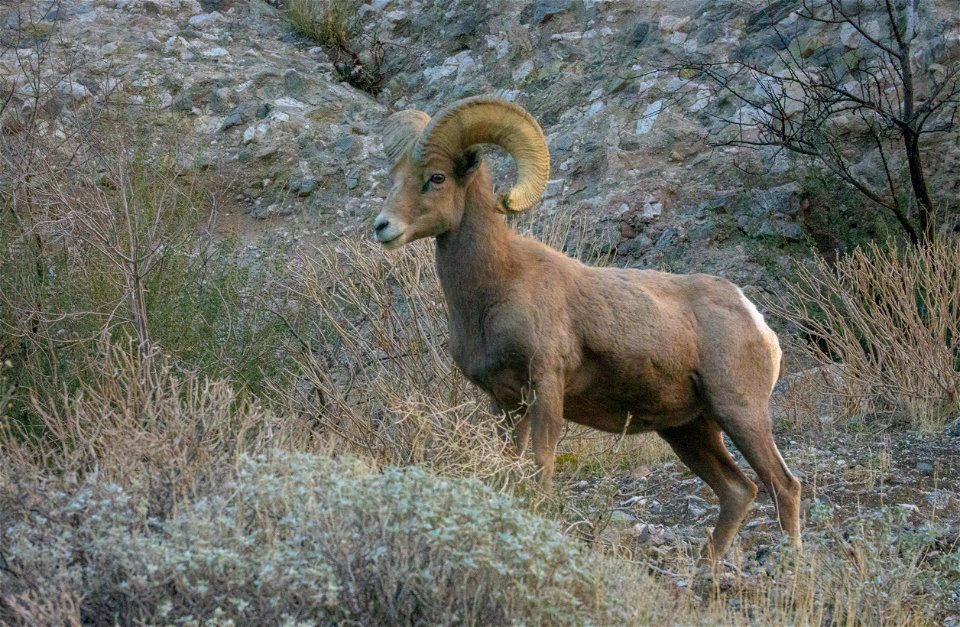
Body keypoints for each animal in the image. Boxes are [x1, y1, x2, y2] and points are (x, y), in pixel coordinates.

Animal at [376, 97, 804, 560]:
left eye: (436, 177)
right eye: (395, 178)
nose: (382, 226)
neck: (494, 288)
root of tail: (755, 319)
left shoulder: (545, 387)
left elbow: (540, 469)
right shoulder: (504, 403)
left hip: (740, 413)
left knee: (784, 486)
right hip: (689, 431)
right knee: (738, 491)